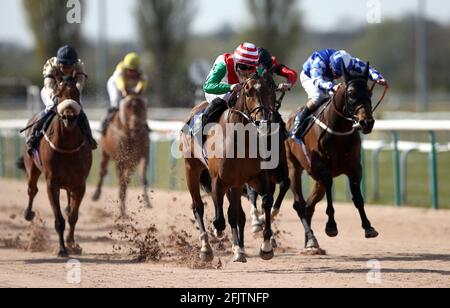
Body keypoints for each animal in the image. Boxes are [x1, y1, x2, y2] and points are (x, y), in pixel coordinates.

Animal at [19, 77, 92, 258]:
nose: (69, 116)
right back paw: (28, 213)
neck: (67, 147)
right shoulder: (52, 184)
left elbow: (73, 216)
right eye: (58, 95)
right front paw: (61, 249)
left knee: (69, 203)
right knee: (32, 189)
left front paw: (72, 244)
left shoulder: (80, 184)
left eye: (77, 94)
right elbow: (59, 219)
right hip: (32, 167)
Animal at [181, 71, 280, 262]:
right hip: (191, 169)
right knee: (198, 207)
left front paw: (266, 247)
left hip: (235, 184)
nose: (263, 122)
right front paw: (217, 231)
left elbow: (265, 201)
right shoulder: (217, 181)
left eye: (270, 90)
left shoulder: (256, 177)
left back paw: (238, 249)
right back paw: (206, 248)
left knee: (237, 214)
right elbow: (220, 218)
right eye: (248, 92)